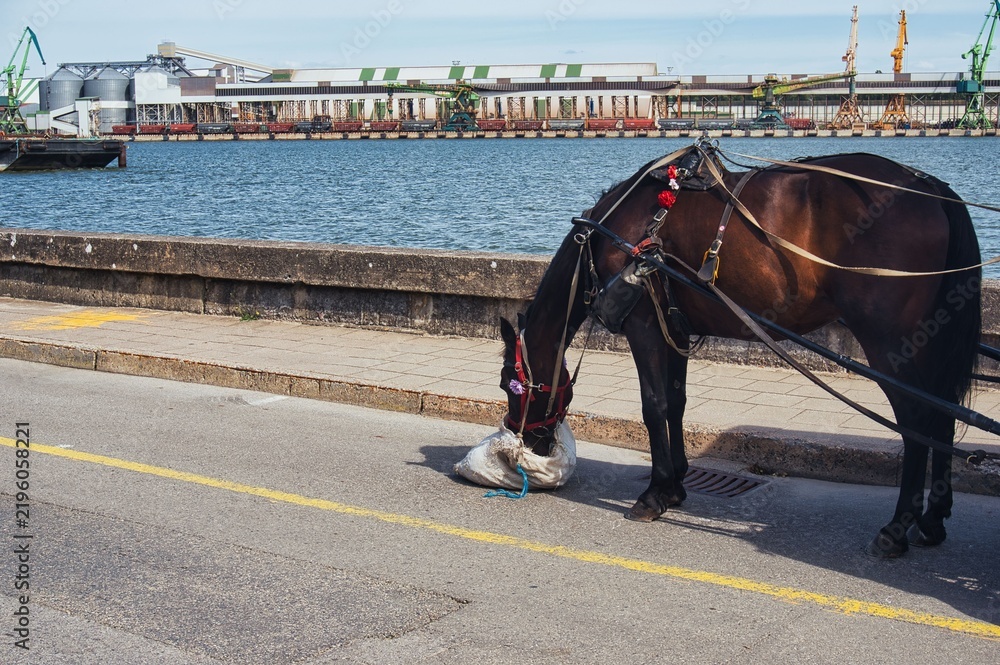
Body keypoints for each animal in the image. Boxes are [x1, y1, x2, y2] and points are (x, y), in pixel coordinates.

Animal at [497, 142, 982, 558]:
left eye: (508, 384)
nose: (528, 440)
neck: (618, 231)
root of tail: (927, 187)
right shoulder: (675, 327)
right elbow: (676, 402)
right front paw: (675, 483)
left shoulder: (645, 324)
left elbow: (654, 405)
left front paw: (655, 492)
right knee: (942, 415)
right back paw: (932, 520)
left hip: (891, 343)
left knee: (917, 421)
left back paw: (898, 527)